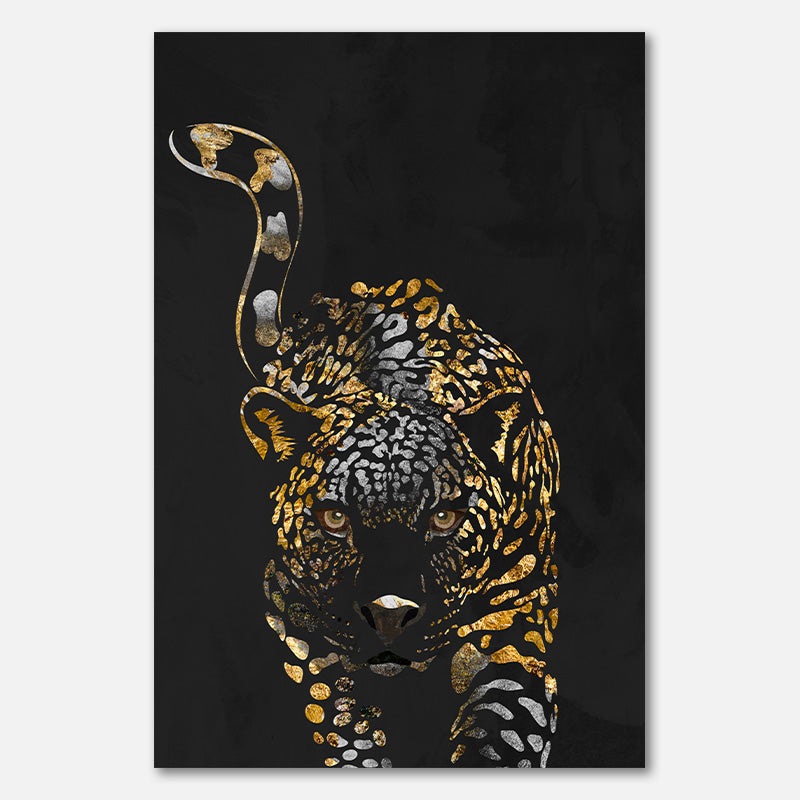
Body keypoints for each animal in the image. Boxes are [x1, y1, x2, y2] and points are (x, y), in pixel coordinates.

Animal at [169, 123, 561, 768]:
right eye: (333, 518)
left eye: (445, 518)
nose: (390, 614)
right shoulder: (302, 629)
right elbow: (346, 731)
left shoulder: (516, 626)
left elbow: (504, 732)